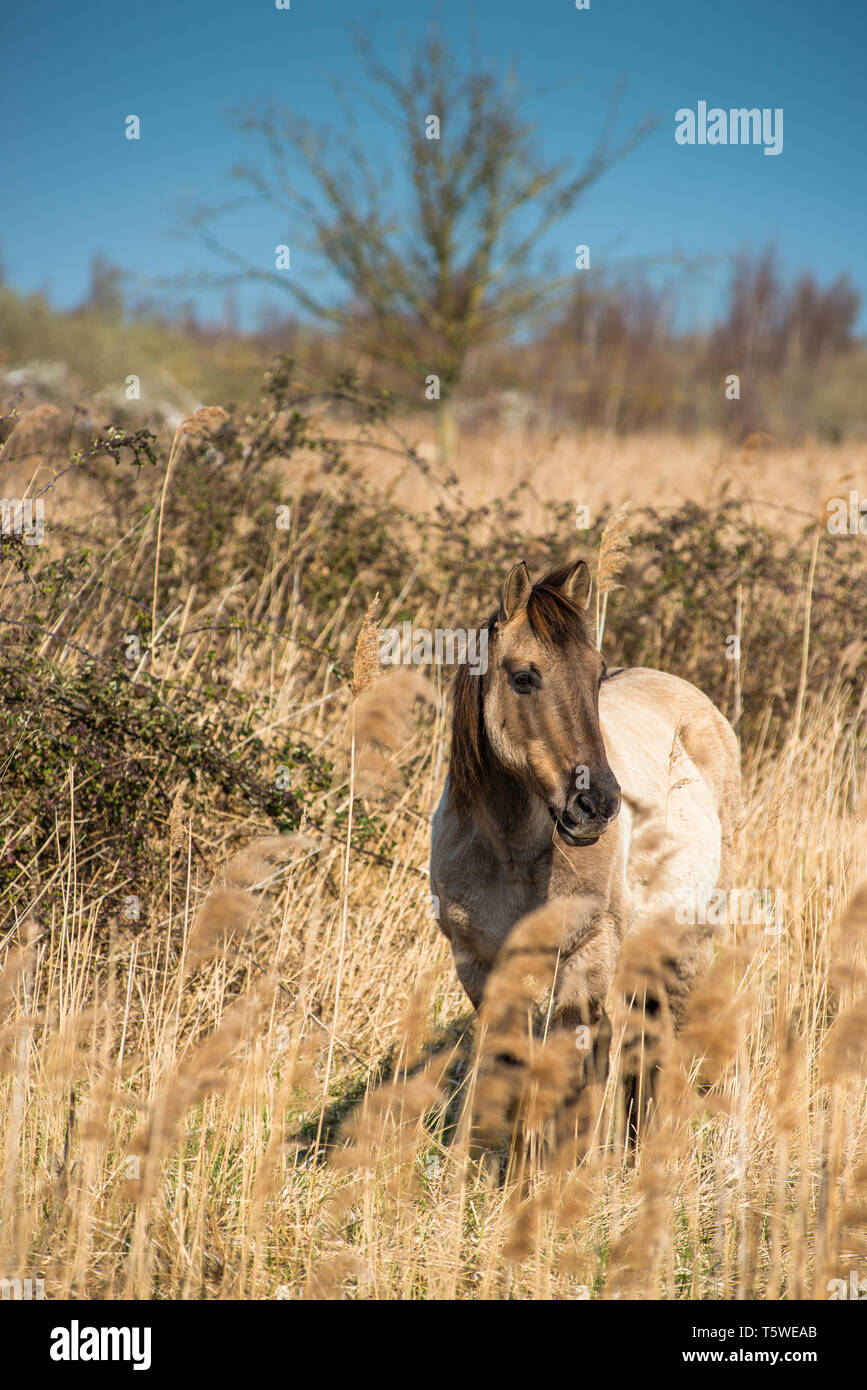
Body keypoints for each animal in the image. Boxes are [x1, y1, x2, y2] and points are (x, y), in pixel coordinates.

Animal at [427, 553, 739, 1128]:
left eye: (597, 675)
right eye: (524, 677)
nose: (597, 805)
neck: (512, 854)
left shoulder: (584, 960)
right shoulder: (479, 966)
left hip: (687, 945)